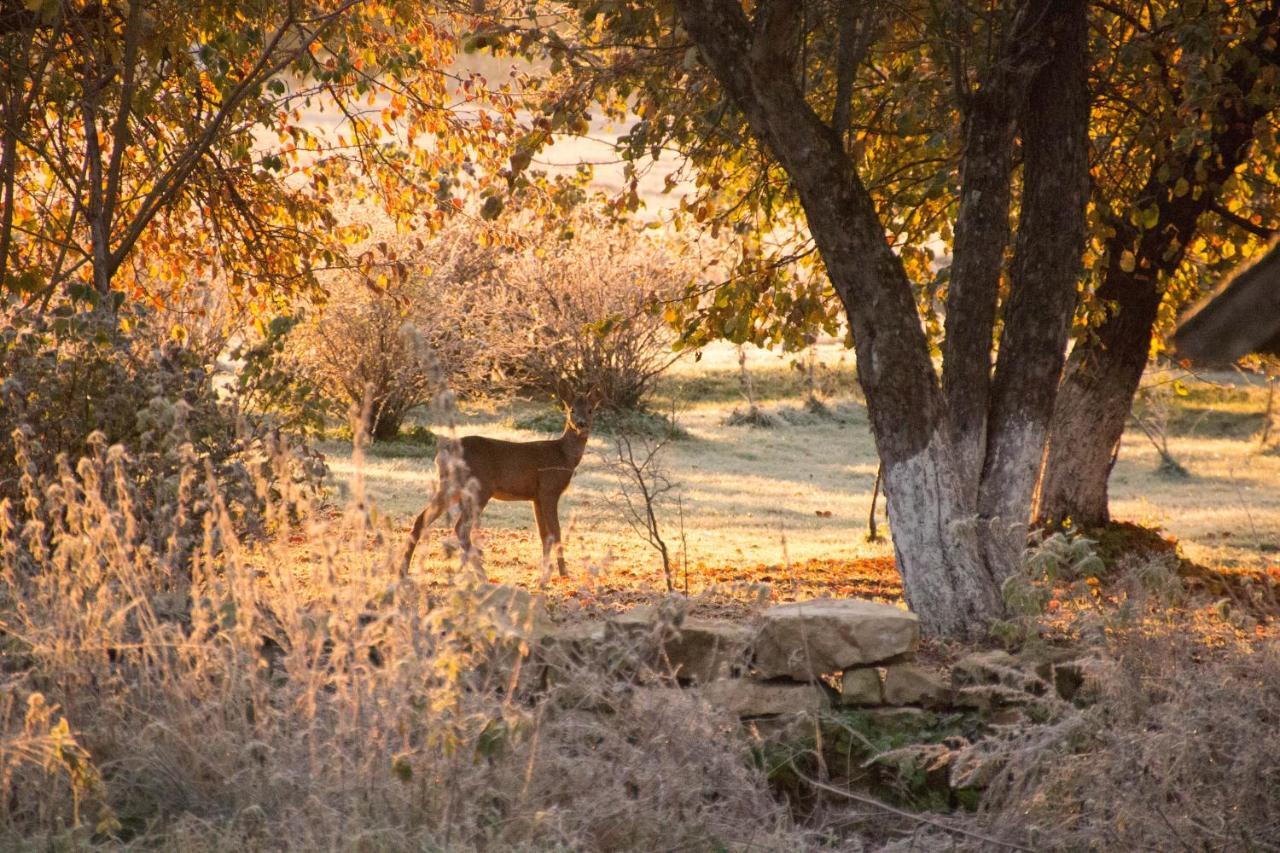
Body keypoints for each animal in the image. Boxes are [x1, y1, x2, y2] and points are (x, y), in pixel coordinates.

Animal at [399, 379, 599, 578]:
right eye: (572, 409)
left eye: (590, 410)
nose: (581, 424)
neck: (564, 456)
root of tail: (441, 455)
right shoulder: (549, 489)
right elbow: (556, 532)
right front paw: (564, 573)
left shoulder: (536, 496)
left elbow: (544, 534)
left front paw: (545, 570)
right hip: (480, 487)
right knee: (461, 528)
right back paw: (481, 573)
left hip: (451, 486)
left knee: (422, 519)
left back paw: (404, 570)